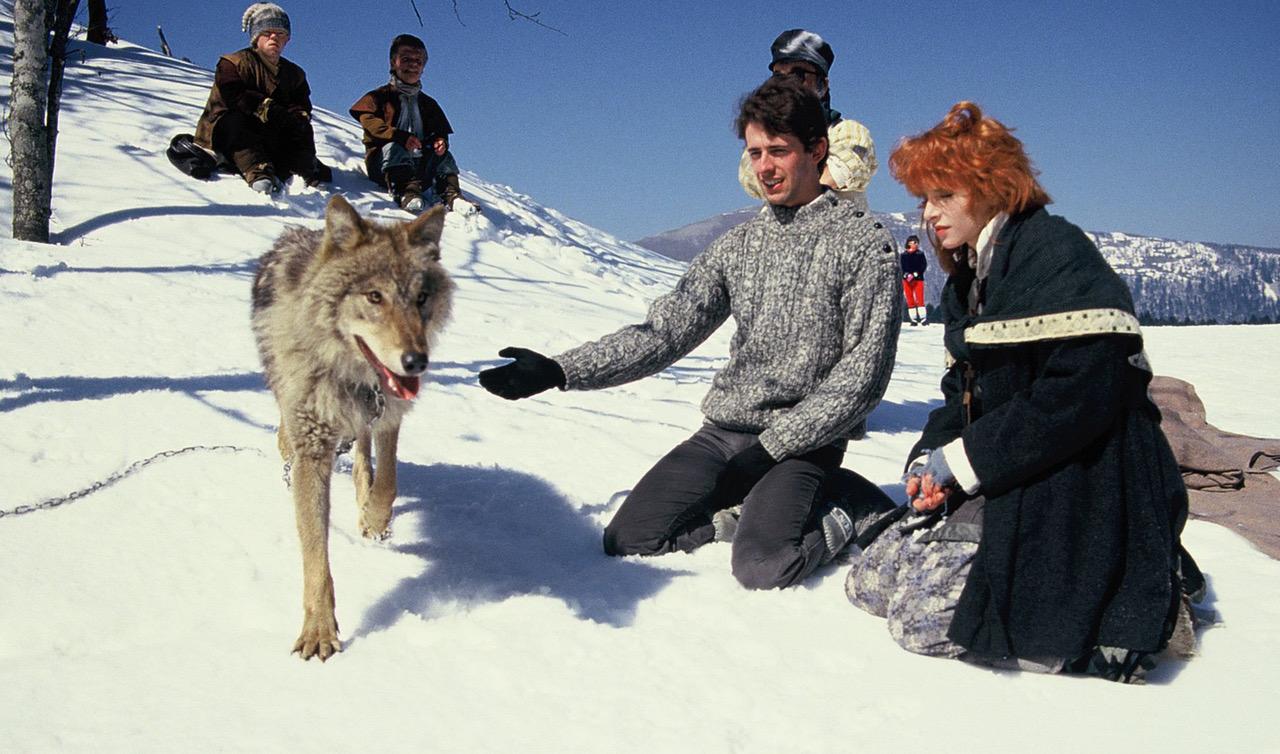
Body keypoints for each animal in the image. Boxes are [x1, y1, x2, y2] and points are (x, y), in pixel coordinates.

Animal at [250, 194, 455, 660]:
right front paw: (319, 631)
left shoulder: (390, 414)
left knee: (364, 459)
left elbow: (388, 482)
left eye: (421, 297)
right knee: (286, 433)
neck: (352, 376)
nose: (417, 362)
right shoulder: (313, 446)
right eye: (374, 296)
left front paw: (375, 519)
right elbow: (315, 555)